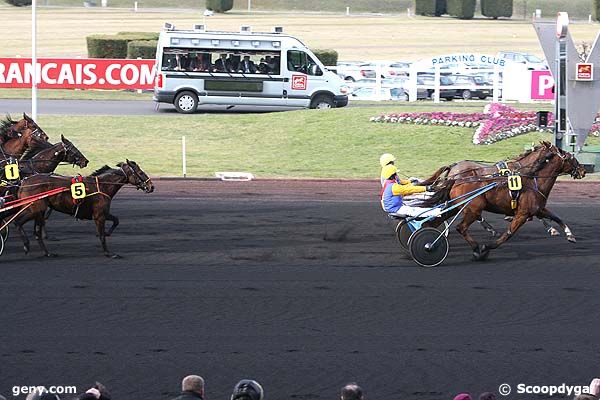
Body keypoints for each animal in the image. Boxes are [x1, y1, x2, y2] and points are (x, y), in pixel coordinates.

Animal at [13, 160, 154, 258]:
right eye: (140, 173)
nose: (151, 186)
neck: (102, 186)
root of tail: (24, 182)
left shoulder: (102, 213)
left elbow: (116, 220)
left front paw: (108, 233)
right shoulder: (99, 215)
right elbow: (102, 236)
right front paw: (108, 253)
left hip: (39, 211)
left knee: (36, 232)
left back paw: (47, 253)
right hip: (35, 209)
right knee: (17, 222)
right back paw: (26, 245)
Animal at [436, 142, 584, 260]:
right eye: (571, 157)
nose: (583, 170)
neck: (532, 178)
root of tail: (454, 170)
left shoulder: (538, 208)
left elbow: (556, 217)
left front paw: (568, 235)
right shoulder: (523, 213)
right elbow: (509, 233)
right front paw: (486, 247)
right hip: (474, 207)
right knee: (463, 225)